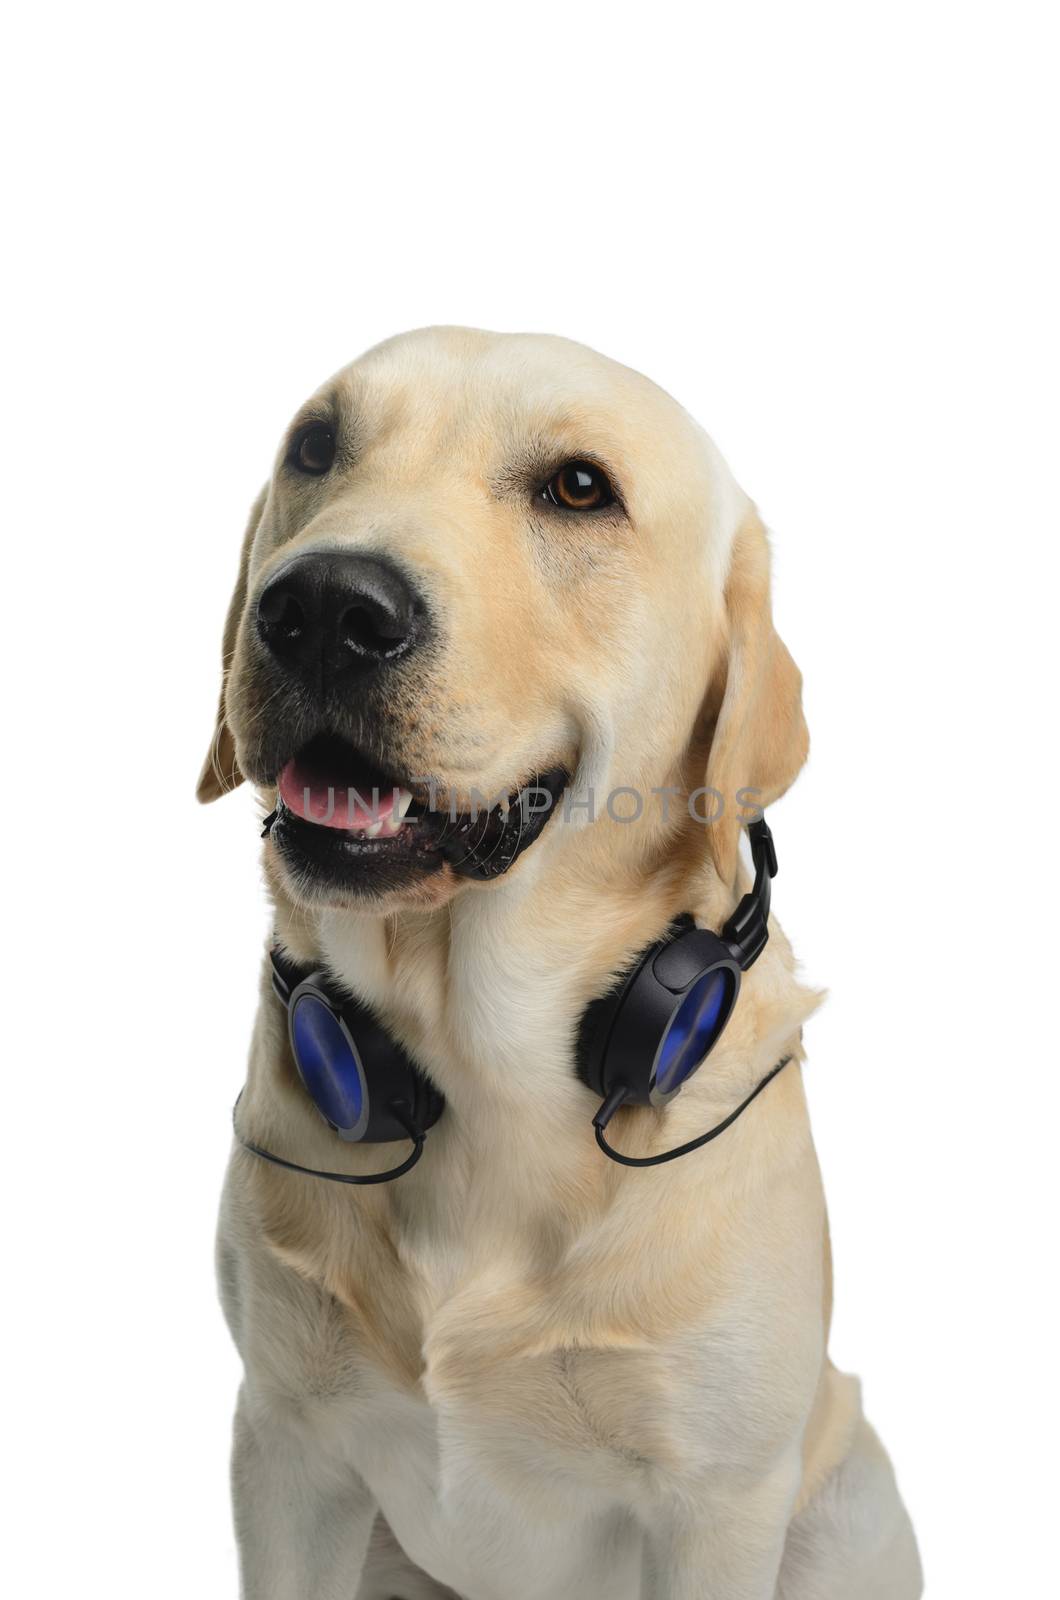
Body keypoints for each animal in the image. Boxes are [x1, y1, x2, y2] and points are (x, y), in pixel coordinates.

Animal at [199, 328, 922, 1600]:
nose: (321, 605)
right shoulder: (284, 1449)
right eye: (315, 445)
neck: (482, 1070)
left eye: (578, 488)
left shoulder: (717, 1504)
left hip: (842, 1504)